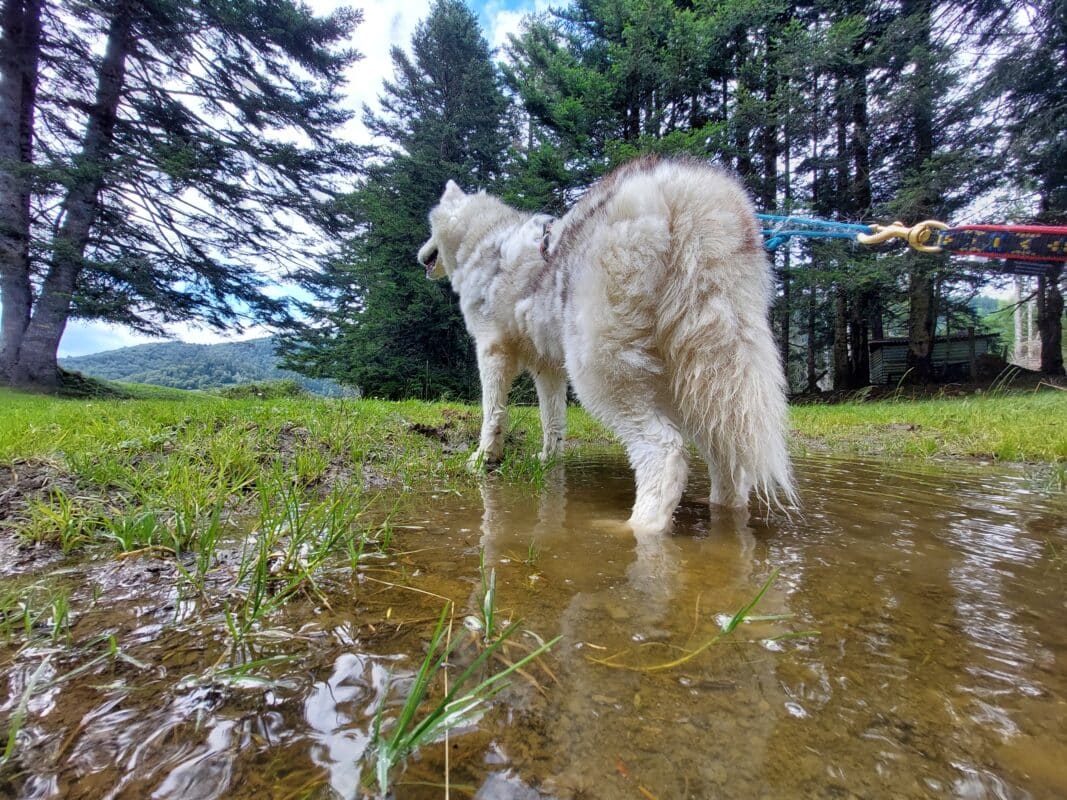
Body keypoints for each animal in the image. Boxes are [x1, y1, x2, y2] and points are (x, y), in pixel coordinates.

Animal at [416, 155, 793, 533]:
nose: (420, 257)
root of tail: (681, 192)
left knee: (665, 451)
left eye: (429, 228)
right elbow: (552, 422)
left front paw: (483, 460)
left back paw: (636, 527)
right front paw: (548, 461)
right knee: (729, 458)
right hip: (700, 379)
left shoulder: (492, 352)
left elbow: (492, 414)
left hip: (600, 373)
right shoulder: (548, 369)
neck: (484, 240)